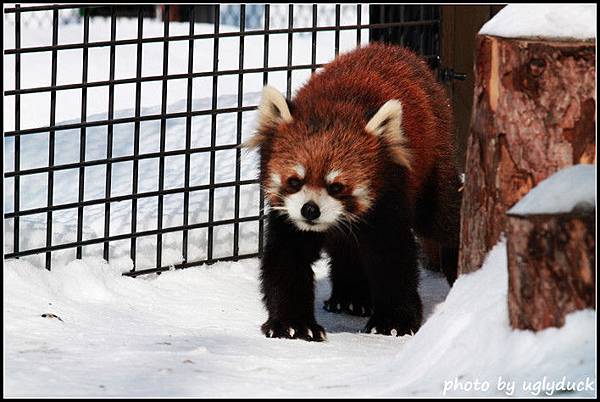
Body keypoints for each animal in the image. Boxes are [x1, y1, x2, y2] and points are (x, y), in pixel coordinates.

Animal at [246, 42, 462, 340]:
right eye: (294, 181)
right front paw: (292, 324)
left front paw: (394, 322)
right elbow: (286, 260)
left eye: (336, 186)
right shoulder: (288, 216)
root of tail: (395, 49)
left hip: (434, 166)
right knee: (346, 247)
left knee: (443, 219)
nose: (310, 210)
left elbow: (392, 258)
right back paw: (351, 296)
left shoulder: (389, 198)